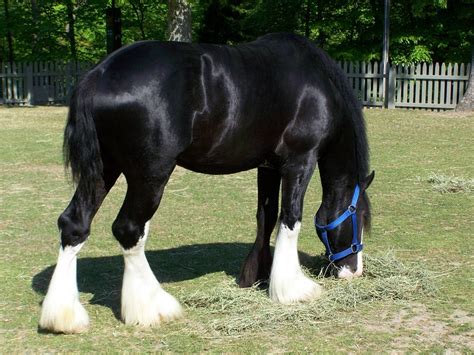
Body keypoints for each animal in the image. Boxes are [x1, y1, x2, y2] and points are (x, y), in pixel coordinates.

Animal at [39, 32, 374, 334]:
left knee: (74, 223)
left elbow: (265, 217)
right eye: (360, 217)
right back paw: (153, 308)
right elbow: (290, 219)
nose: (354, 270)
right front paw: (292, 289)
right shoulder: (299, 161)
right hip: (150, 174)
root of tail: (98, 76)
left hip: (104, 168)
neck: (315, 84)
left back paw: (63, 317)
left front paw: (256, 276)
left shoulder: (268, 166)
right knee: (128, 229)